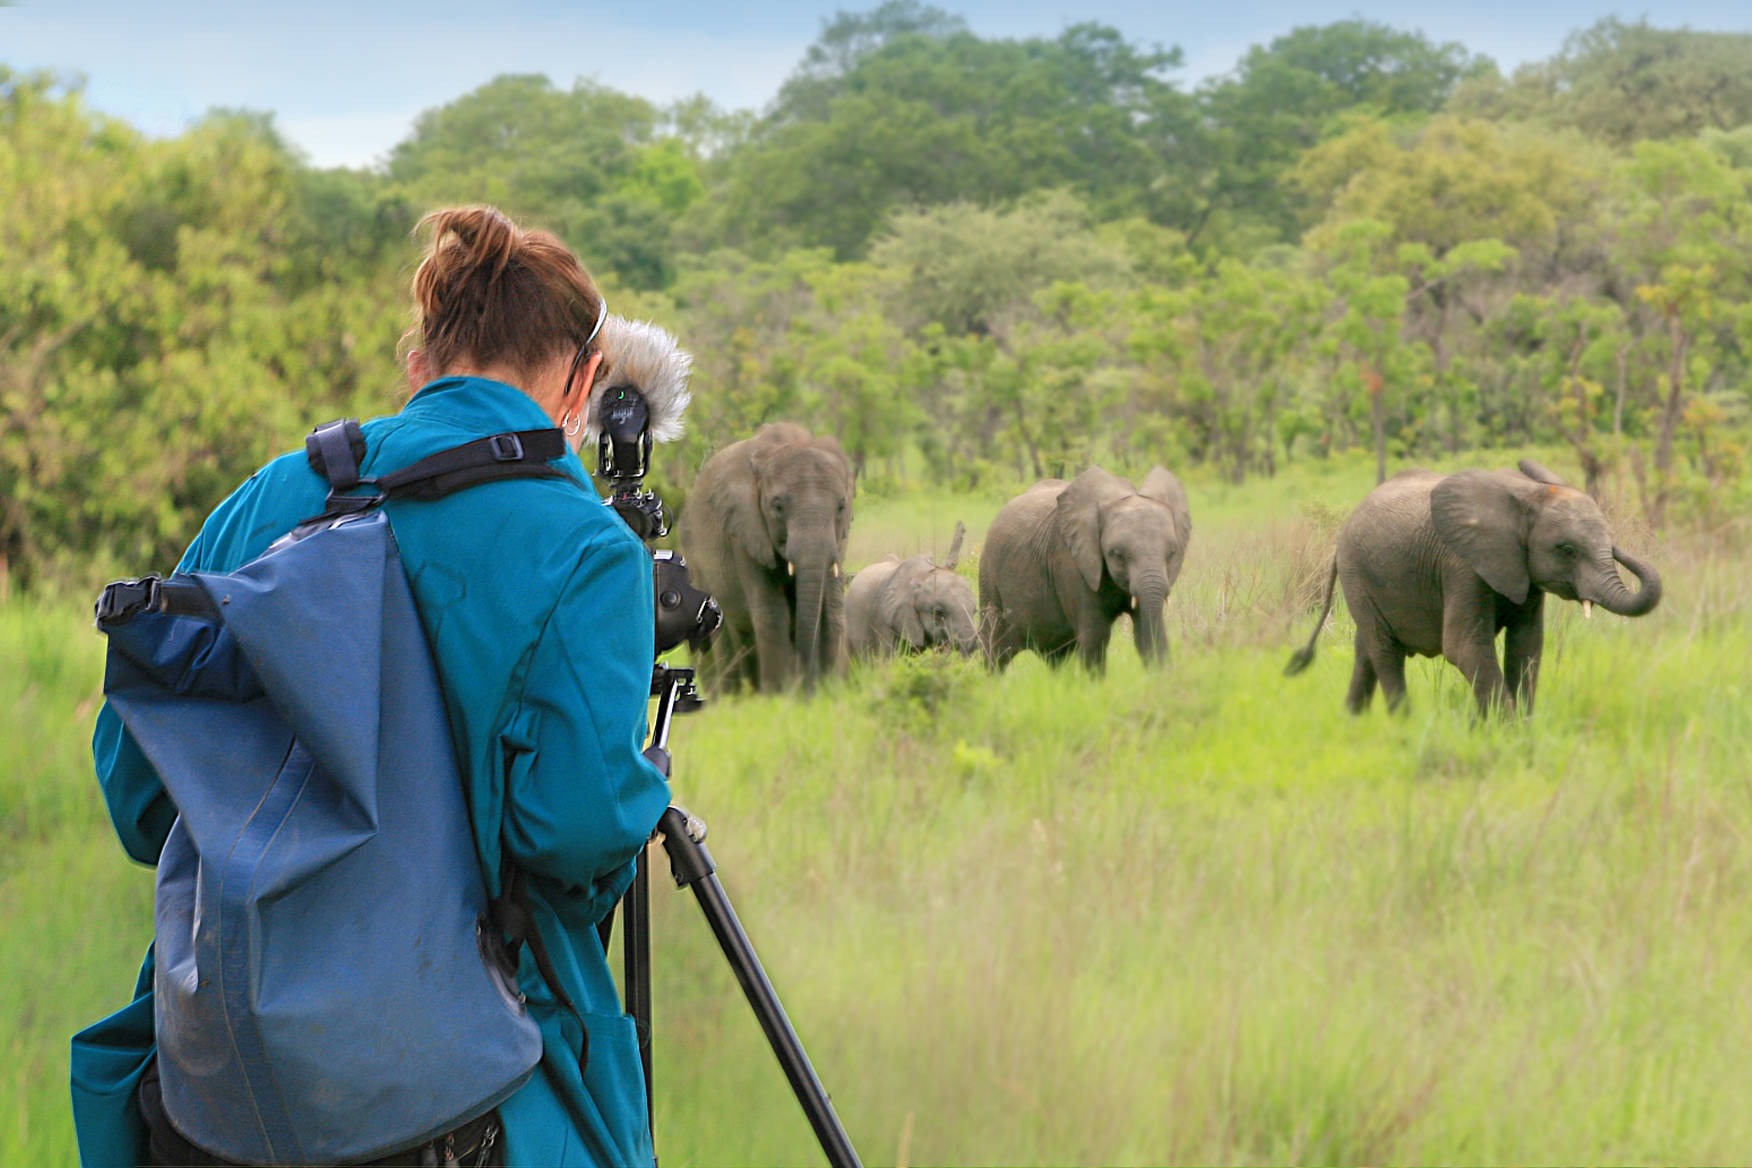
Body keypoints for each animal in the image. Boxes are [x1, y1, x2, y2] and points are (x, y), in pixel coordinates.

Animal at [676, 422, 854, 689]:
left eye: (842, 507)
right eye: (777, 507)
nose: (808, 683)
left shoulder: (838, 542)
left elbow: (831, 611)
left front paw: (830, 688)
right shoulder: (744, 531)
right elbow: (772, 615)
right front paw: (779, 694)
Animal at [981, 462, 1198, 672]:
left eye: (1171, 554)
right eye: (1117, 555)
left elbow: (1147, 633)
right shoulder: (1071, 562)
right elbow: (1096, 635)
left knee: (1057, 657)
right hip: (989, 580)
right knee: (995, 653)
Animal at [1296, 462, 1660, 717]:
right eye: (1567, 550)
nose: (1618, 548)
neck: (1527, 495)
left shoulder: (1523, 573)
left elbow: (1526, 645)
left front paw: (1521, 727)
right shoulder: (1461, 565)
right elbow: (1464, 646)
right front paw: (1508, 732)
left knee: (1366, 650)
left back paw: (1353, 721)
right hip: (1356, 572)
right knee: (1384, 651)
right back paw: (1402, 725)